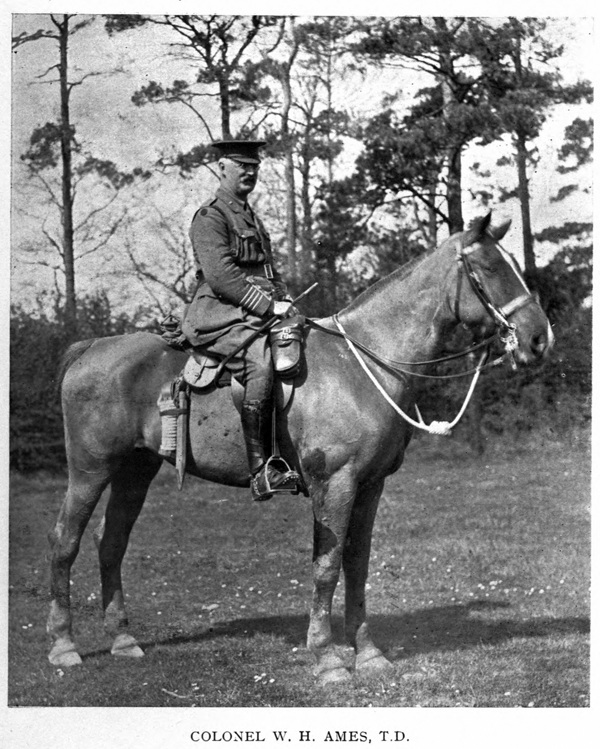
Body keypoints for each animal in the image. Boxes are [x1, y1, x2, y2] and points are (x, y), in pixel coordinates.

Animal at [47, 212, 552, 684]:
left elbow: (357, 563)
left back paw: (123, 639)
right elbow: (326, 566)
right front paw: (327, 658)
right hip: (90, 471)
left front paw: (368, 654)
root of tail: (90, 348)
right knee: (65, 541)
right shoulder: (335, 484)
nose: (538, 338)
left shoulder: (369, 487)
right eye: (490, 267)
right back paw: (64, 645)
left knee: (111, 542)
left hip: (135, 470)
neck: (362, 362)